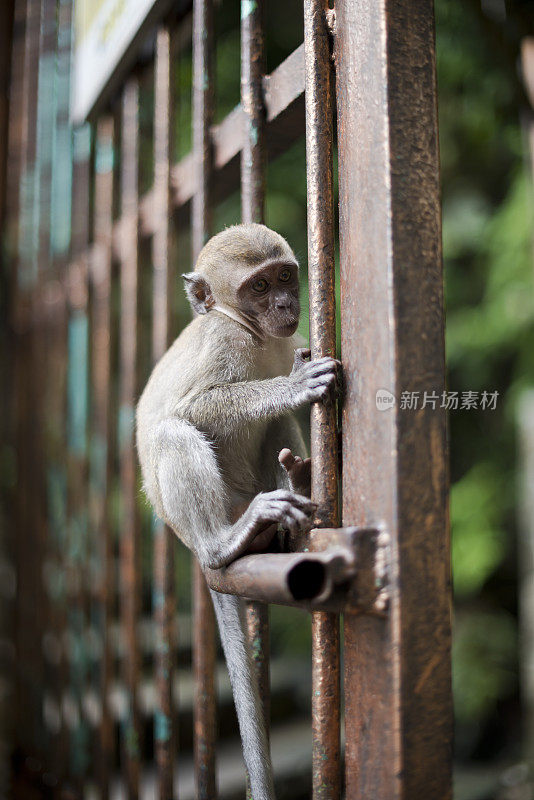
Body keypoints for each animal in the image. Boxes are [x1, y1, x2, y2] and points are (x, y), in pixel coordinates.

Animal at [137, 223, 340, 800]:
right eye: (258, 287)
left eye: (286, 276)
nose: (285, 303)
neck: (250, 332)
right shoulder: (221, 345)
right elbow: (192, 408)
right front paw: (290, 387)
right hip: (214, 513)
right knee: (174, 431)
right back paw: (230, 542)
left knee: (274, 431)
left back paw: (290, 509)